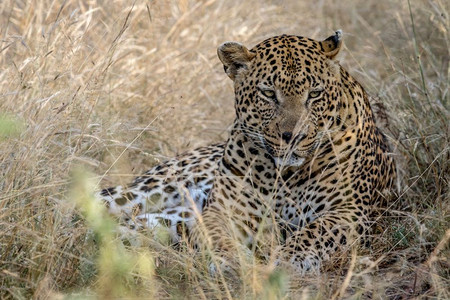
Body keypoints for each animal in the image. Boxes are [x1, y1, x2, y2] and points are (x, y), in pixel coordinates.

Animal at [96, 30, 394, 274]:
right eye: (268, 93)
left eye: (315, 94)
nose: (293, 137)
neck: (284, 174)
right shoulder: (223, 211)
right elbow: (216, 236)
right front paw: (230, 260)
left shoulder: (349, 211)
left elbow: (314, 232)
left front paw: (290, 259)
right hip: (153, 189)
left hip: (168, 220)